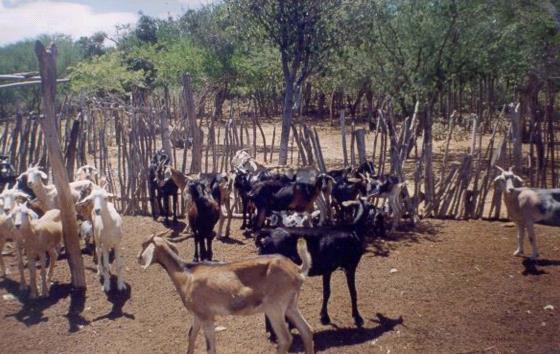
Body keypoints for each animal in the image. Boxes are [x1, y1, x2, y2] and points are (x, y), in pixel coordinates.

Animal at [139, 232, 316, 354]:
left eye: (144, 244)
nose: (138, 258)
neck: (186, 275)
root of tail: (298, 270)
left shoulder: (206, 315)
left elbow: (210, 347)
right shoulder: (198, 315)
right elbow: (191, 335)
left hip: (275, 307)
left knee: (285, 338)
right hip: (290, 305)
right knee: (306, 330)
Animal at [258, 199, 384, 334]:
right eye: (373, 208)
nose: (379, 218)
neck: (354, 230)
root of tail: (268, 236)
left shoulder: (327, 270)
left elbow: (326, 292)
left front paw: (324, 317)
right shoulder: (350, 266)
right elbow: (352, 291)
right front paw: (357, 317)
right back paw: (273, 331)